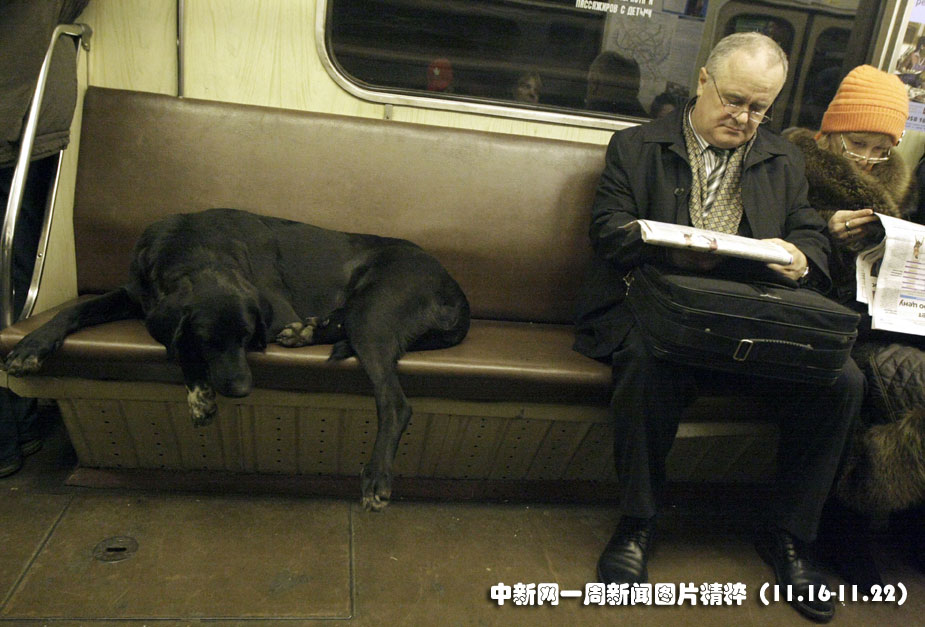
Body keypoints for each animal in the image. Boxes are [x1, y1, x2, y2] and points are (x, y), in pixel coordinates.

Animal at [2, 208, 470, 510]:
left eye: (246, 338)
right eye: (209, 341)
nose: (243, 390)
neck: (196, 248)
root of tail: (454, 287)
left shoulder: (272, 310)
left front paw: (200, 393)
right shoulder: (137, 295)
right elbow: (76, 310)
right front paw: (30, 346)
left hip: (372, 315)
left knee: (395, 403)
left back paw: (376, 476)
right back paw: (304, 332)